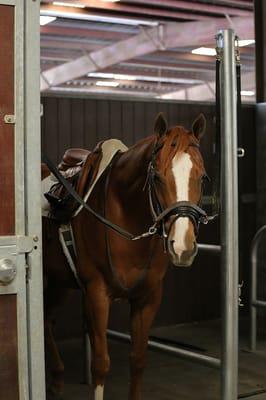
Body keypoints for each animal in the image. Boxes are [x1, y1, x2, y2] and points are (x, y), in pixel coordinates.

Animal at [43, 112, 208, 400]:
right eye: (157, 177)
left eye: (202, 177)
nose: (183, 247)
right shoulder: (97, 294)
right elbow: (101, 364)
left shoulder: (148, 298)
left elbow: (138, 359)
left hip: (59, 280)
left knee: (48, 319)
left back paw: (58, 380)